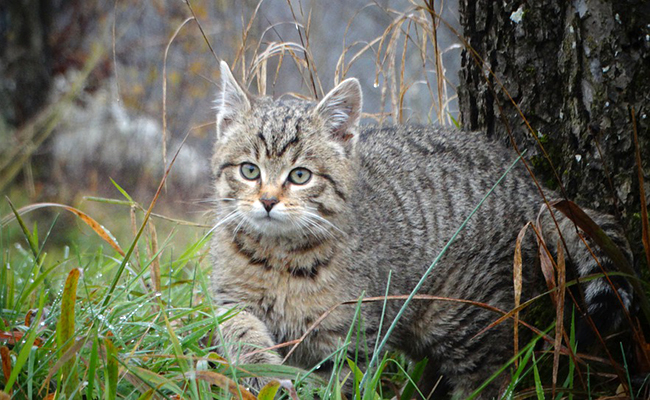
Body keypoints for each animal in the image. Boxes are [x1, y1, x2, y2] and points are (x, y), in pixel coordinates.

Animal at [209, 61, 632, 398]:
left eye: (300, 176)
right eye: (249, 170)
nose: (267, 201)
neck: (279, 257)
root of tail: (532, 186)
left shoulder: (352, 333)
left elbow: (340, 381)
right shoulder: (230, 300)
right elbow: (240, 333)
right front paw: (259, 372)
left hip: (469, 319)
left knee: (488, 379)